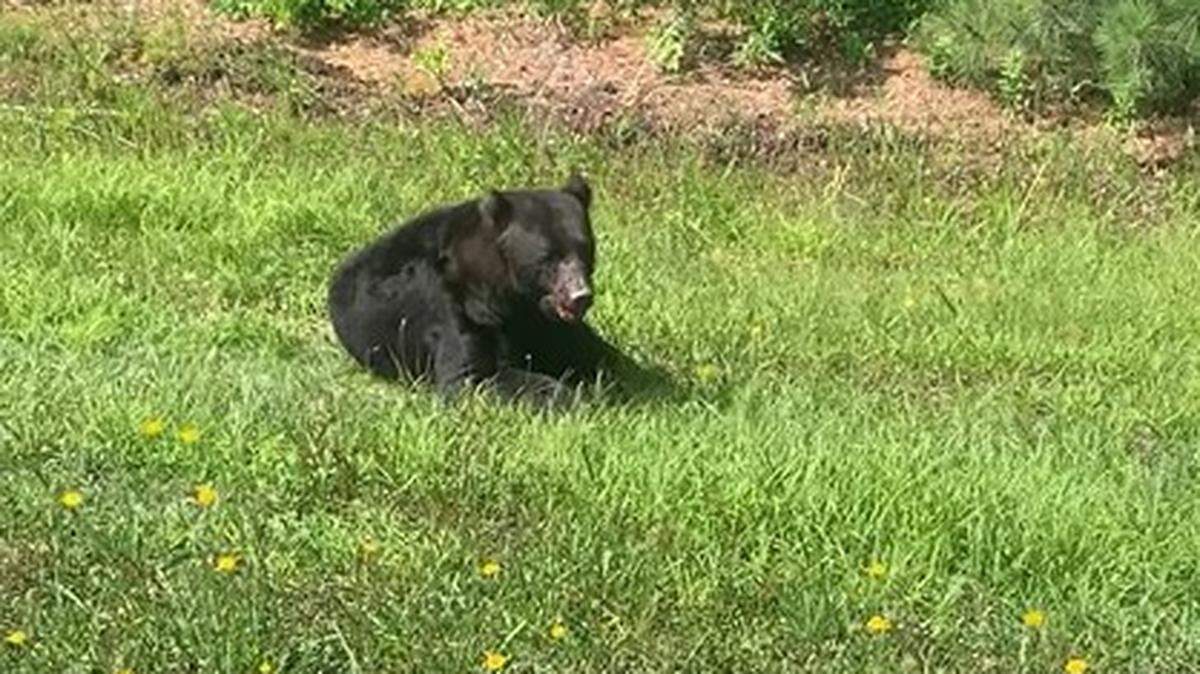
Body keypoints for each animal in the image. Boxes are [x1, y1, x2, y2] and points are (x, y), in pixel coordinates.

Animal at [327, 174, 626, 407]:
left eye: (584, 250)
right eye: (548, 258)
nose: (580, 296)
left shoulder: (544, 318)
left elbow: (593, 352)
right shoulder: (453, 306)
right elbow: (472, 377)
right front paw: (575, 398)